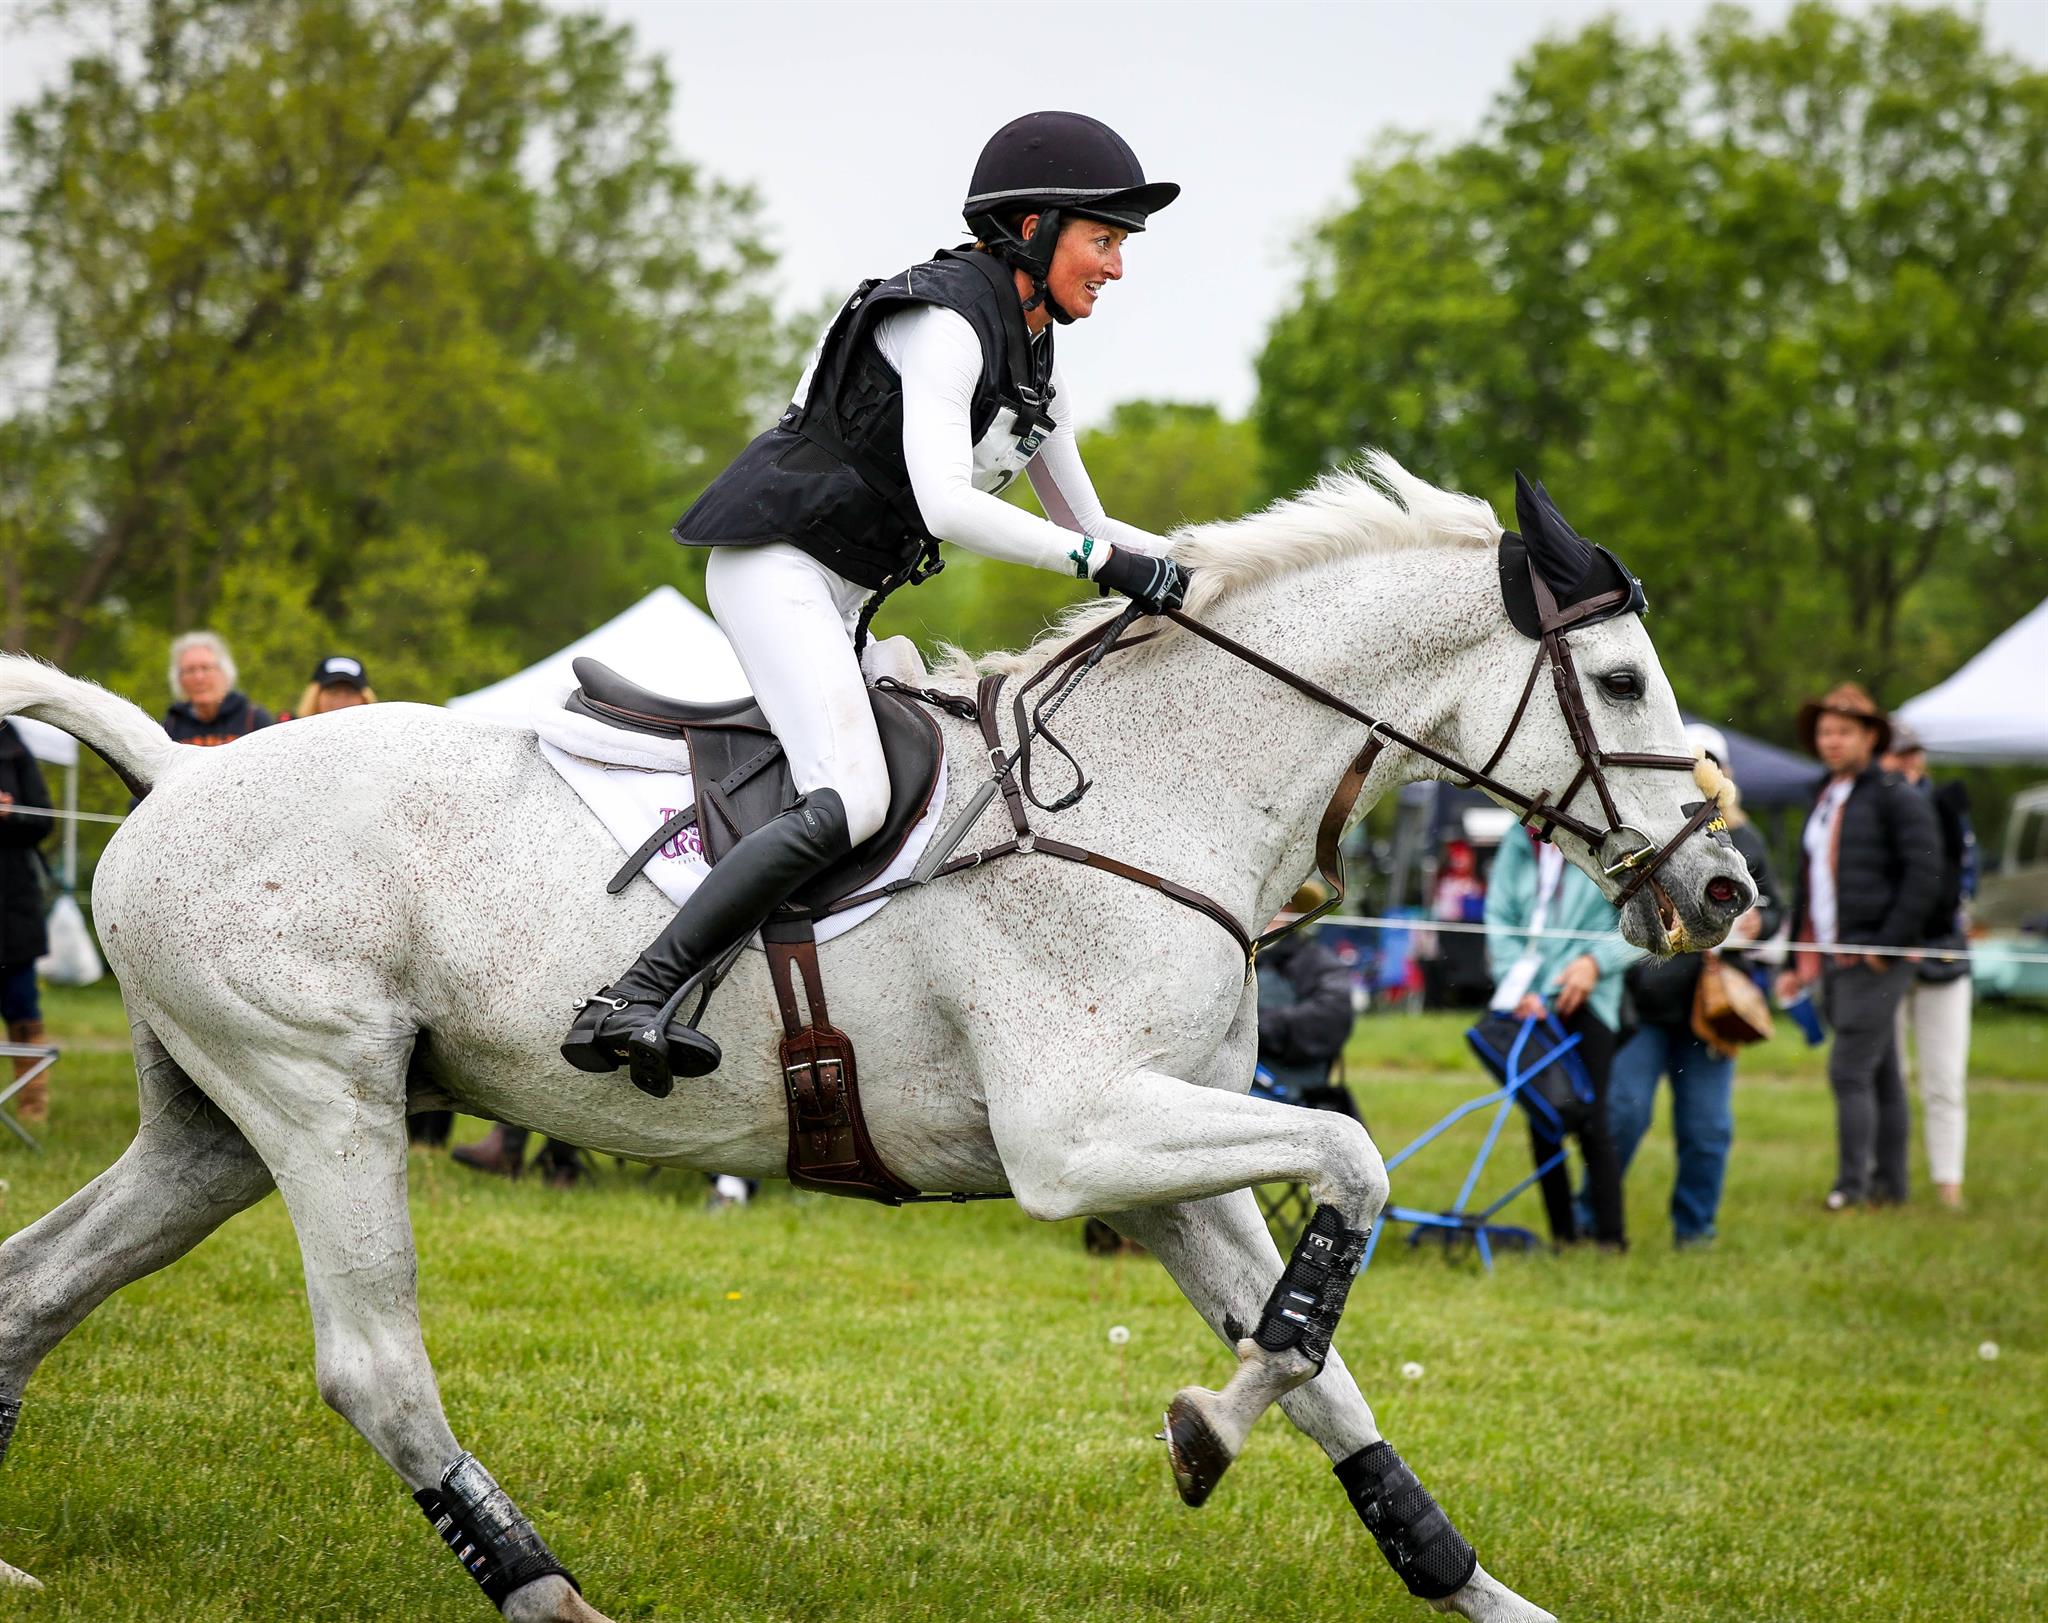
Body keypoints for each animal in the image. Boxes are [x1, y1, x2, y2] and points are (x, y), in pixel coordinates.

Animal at [0, 456, 1753, 1623]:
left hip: (215, 1132)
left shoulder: (1166, 1153)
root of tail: (182, 768)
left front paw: (1447, 1568)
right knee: (375, 1366)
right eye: (1617, 676)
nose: (1728, 888)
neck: (1160, 787)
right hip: (324, 1103)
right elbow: (1357, 1161)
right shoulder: (1080, 1135)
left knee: (36, 1282)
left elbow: (1319, 1354)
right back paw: (549, 1587)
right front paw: (1208, 1422)